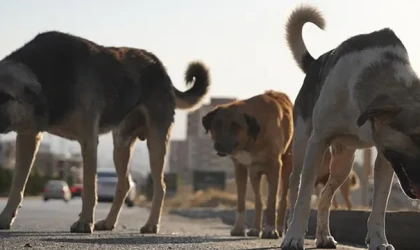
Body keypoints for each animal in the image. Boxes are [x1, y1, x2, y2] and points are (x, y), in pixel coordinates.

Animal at [202, 91, 294, 239]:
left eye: (236, 126)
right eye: (216, 124)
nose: (219, 145)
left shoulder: (275, 166)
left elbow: (271, 202)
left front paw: (270, 230)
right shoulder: (240, 167)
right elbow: (241, 201)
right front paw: (239, 228)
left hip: (286, 169)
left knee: (282, 199)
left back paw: (279, 228)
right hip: (254, 174)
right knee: (258, 200)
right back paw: (256, 229)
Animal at [280, 3, 420, 250]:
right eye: (416, 136)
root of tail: (315, 63)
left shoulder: (385, 157)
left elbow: (379, 205)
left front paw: (378, 240)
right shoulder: (318, 141)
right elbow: (304, 198)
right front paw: (294, 236)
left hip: (343, 163)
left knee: (325, 195)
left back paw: (324, 236)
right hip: (302, 147)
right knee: (295, 186)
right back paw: (290, 229)